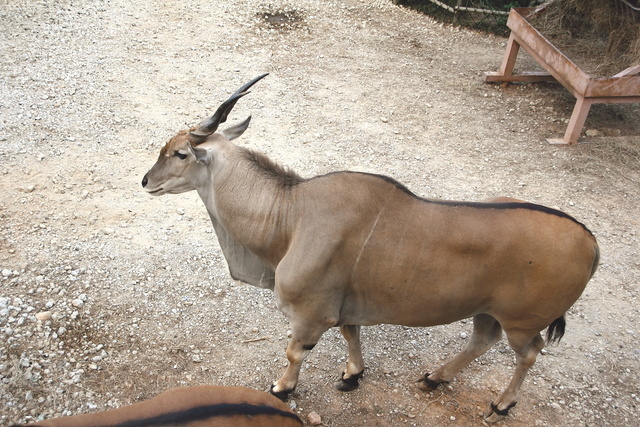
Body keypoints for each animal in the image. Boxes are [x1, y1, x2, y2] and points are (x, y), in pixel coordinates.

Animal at [141, 74, 600, 422]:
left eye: (180, 153)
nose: (145, 181)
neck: (292, 214)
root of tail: (591, 242)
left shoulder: (310, 314)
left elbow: (295, 353)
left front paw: (283, 388)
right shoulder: (345, 306)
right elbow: (352, 334)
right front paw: (352, 376)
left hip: (521, 322)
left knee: (530, 354)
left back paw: (502, 404)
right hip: (487, 311)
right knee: (482, 340)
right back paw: (435, 377)